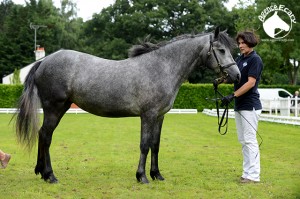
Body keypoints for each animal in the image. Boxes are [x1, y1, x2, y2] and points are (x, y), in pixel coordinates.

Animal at [15, 27, 241, 184]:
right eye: (221, 50)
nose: (237, 75)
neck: (161, 67)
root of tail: (43, 62)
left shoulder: (160, 116)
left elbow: (155, 145)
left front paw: (157, 174)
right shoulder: (148, 115)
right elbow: (144, 145)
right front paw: (142, 176)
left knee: (42, 134)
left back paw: (41, 172)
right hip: (55, 108)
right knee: (46, 135)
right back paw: (50, 175)